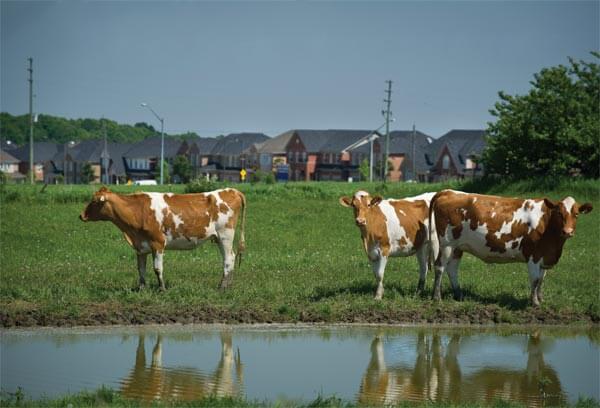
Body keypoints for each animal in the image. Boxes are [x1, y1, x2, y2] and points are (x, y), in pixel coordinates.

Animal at [79, 187, 246, 290]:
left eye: (94, 201)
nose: (81, 215)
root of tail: (231, 190)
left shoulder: (158, 243)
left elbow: (157, 268)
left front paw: (162, 288)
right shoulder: (141, 247)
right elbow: (141, 269)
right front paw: (141, 289)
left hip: (225, 235)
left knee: (228, 258)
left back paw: (222, 287)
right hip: (219, 238)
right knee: (230, 258)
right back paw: (228, 285)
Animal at [428, 190, 592, 304]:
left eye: (576, 214)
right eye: (559, 213)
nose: (567, 231)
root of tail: (449, 191)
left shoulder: (545, 256)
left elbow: (541, 280)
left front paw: (540, 299)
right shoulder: (533, 255)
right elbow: (535, 279)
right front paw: (534, 302)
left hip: (458, 247)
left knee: (452, 269)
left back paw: (459, 294)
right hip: (447, 244)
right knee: (440, 267)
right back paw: (437, 297)